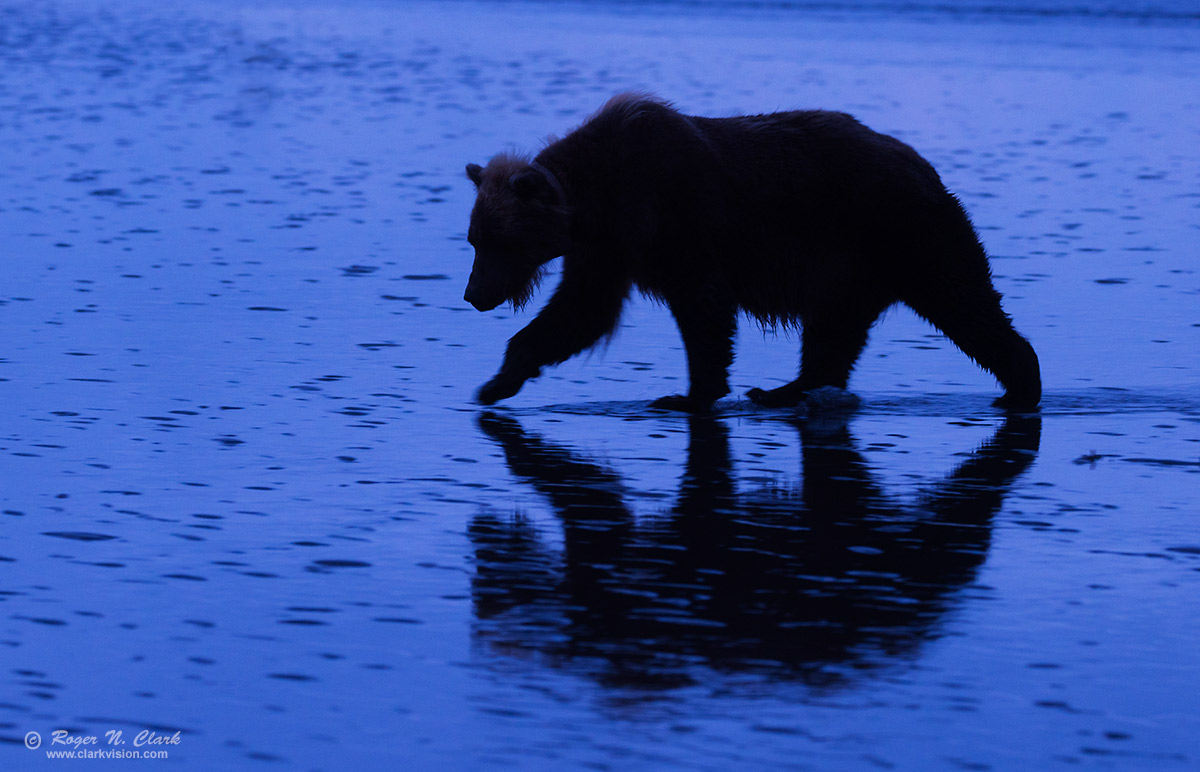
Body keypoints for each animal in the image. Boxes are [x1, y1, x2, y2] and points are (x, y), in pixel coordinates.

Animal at [458, 91, 1041, 410]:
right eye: (474, 239)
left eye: (498, 240)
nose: (473, 295)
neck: (597, 196)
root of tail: (928, 170)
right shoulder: (607, 249)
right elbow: (580, 312)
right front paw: (497, 381)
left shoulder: (675, 216)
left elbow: (702, 307)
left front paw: (688, 393)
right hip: (849, 269)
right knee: (834, 331)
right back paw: (785, 389)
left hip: (903, 233)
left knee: (963, 302)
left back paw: (1020, 383)